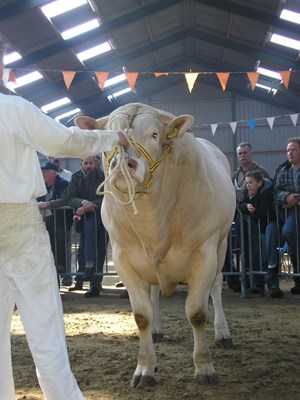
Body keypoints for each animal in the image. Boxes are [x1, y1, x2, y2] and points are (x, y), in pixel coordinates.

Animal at [75, 102, 237, 388]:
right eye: (107, 136)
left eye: (154, 135)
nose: (124, 164)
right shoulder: (124, 259)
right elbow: (142, 316)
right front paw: (145, 370)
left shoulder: (204, 253)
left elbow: (197, 313)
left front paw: (204, 367)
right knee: (153, 295)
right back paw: (158, 329)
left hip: (222, 243)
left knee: (216, 287)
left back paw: (222, 333)